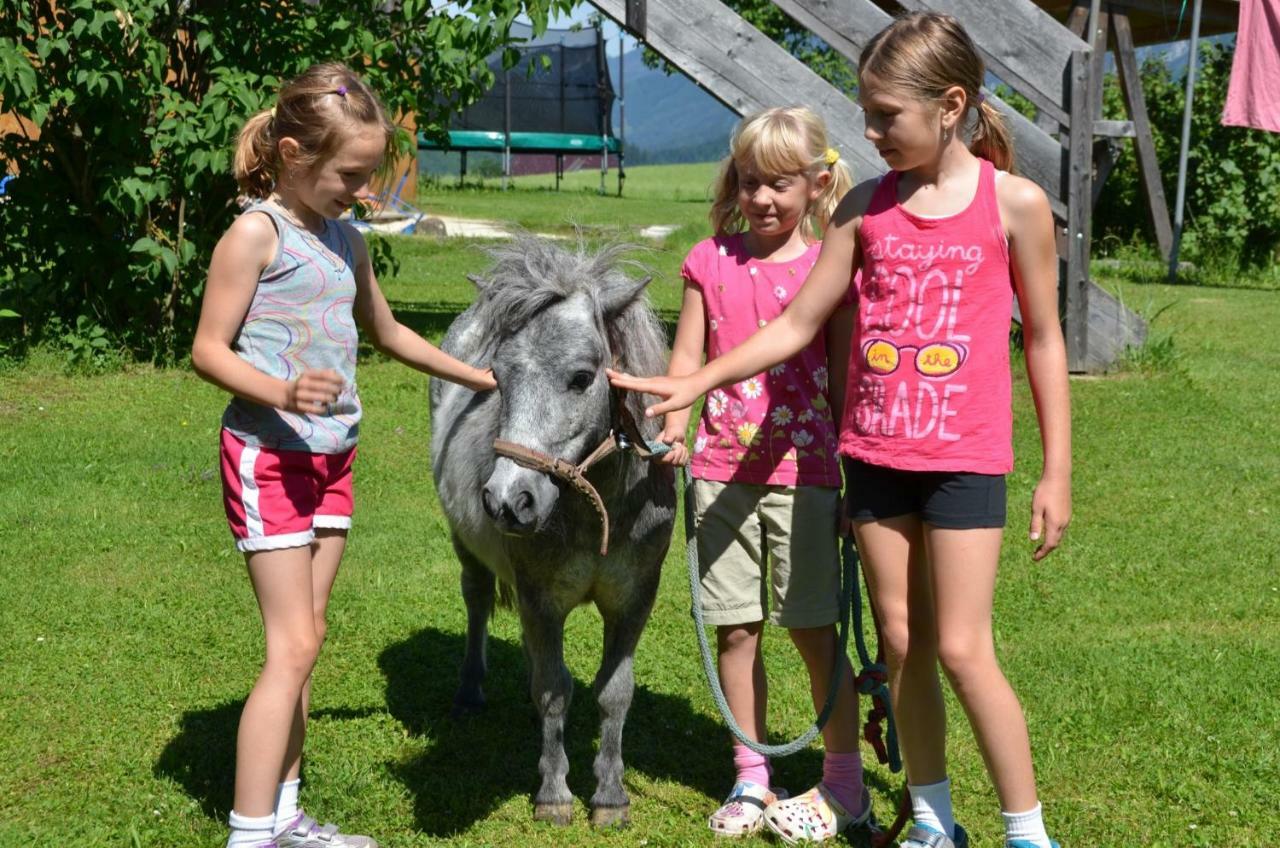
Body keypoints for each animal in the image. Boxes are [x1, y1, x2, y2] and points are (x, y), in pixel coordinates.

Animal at [427, 236, 675, 830]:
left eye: (582, 377)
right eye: (498, 376)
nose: (507, 500)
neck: (600, 510)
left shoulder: (634, 600)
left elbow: (614, 693)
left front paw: (610, 795)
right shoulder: (542, 599)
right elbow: (554, 691)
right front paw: (555, 792)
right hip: (466, 549)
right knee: (477, 601)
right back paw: (470, 690)